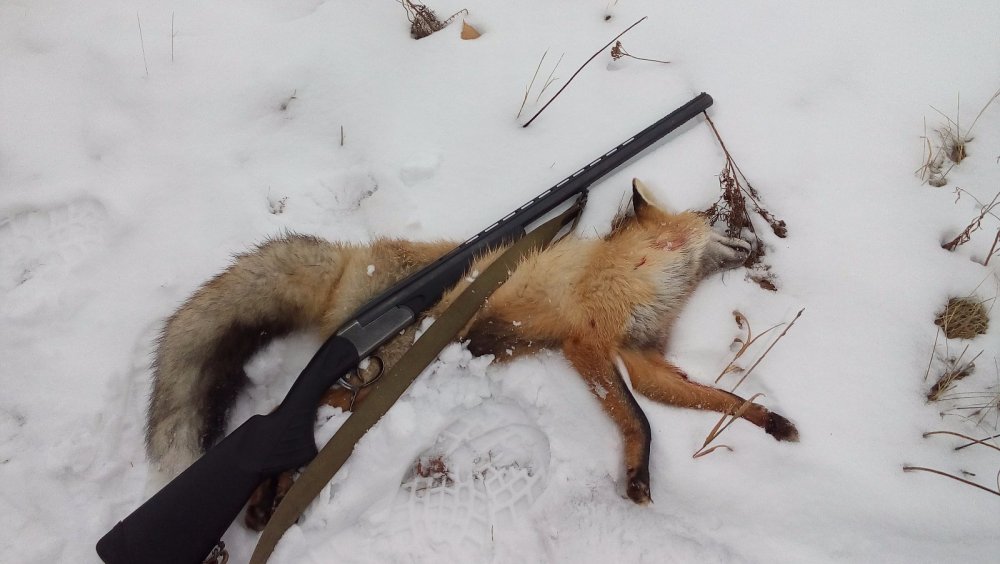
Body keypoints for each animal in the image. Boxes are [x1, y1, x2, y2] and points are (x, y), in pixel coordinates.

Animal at [145, 179, 798, 527]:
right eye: (719, 222)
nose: (756, 241)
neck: (648, 276)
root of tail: (353, 259)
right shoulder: (588, 343)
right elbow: (640, 420)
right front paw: (636, 476)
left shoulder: (642, 358)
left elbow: (715, 398)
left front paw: (770, 420)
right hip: (379, 376)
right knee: (305, 417)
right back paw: (264, 498)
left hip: (372, 384)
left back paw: (268, 499)